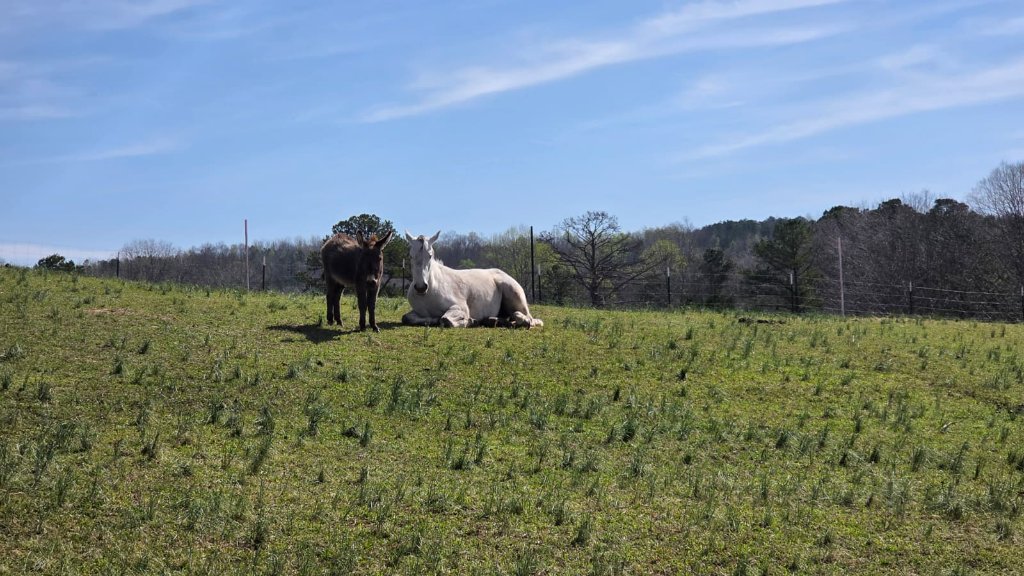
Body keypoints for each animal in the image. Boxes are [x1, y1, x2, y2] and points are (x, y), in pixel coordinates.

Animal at [400, 231, 543, 328]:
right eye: (411, 256)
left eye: (430, 255)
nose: (421, 287)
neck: (430, 292)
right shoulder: (416, 312)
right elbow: (406, 318)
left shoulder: (460, 308)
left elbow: (445, 319)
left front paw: (470, 321)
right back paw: (492, 320)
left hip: (514, 293)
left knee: (529, 318)